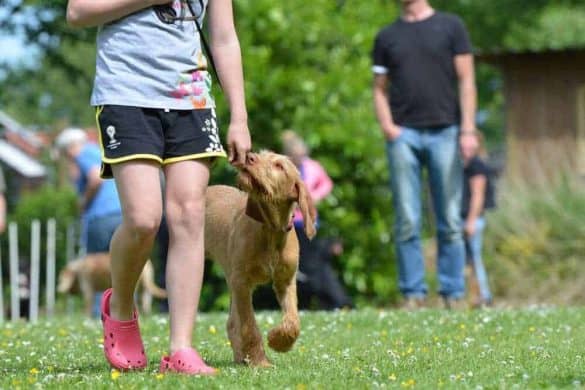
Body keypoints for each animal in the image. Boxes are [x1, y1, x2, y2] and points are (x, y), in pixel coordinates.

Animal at [205, 151, 314, 368]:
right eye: (261, 154)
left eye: (279, 166)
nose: (249, 157)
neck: (270, 230)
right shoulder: (242, 282)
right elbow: (249, 325)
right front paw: (259, 361)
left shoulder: (285, 281)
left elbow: (293, 321)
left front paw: (279, 342)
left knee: (231, 323)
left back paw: (241, 357)